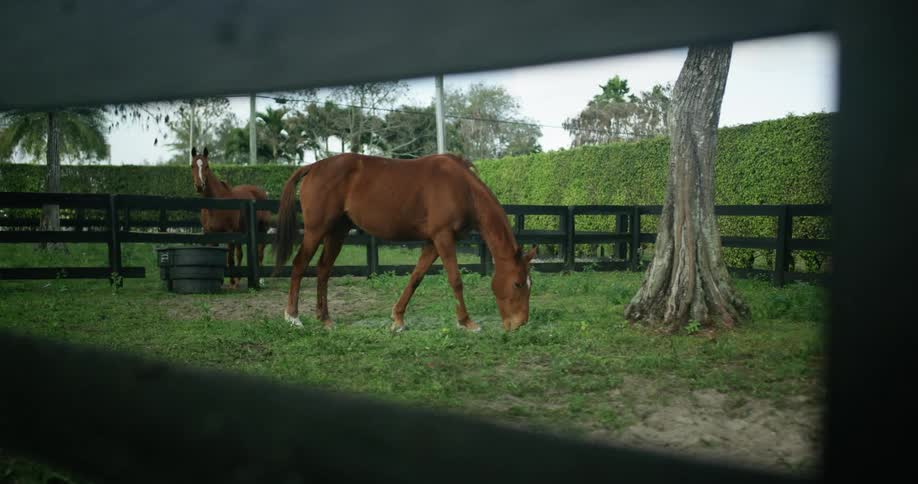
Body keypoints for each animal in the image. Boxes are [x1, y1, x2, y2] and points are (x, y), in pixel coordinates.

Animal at [191, 147, 272, 288]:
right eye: (192, 166)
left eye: (206, 166)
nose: (200, 186)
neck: (216, 204)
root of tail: (262, 192)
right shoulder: (211, 234)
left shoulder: (229, 234)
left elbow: (229, 258)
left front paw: (232, 282)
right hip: (242, 233)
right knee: (240, 254)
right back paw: (239, 280)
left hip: (262, 230)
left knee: (260, 251)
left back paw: (260, 280)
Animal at [273, 152, 537, 332]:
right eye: (517, 284)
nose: (520, 323)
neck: (462, 188)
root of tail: (313, 166)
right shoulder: (443, 237)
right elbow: (455, 280)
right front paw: (466, 322)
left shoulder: (432, 242)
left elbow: (416, 277)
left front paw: (398, 318)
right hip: (316, 230)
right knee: (299, 265)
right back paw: (293, 316)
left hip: (338, 231)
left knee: (323, 269)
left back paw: (325, 319)